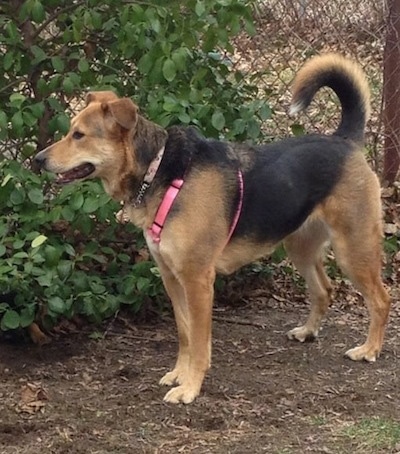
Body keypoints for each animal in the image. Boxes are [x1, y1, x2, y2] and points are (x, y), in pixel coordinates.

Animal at [33, 54, 390, 404]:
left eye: (79, 135)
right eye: (70, 131)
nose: (37, 159)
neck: (158, 171)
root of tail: (344, 139)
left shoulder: (198, 281)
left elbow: (200, 344)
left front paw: (190, 388)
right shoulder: (171, 277)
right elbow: (185, 334)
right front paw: (179, 374)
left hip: (353, 249)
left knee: (381, 299)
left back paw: (369, 349)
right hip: (299, 247)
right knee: (323, 289)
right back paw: (308, 331)